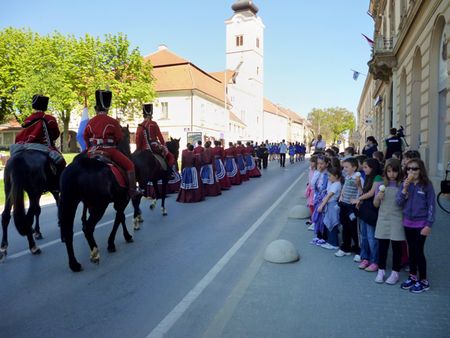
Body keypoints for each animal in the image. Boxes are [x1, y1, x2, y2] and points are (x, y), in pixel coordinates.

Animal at [57, 127, 134, 272]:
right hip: (100, 207)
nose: (129, 153)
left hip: (70, 202)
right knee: (88, 228)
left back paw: (74, 263)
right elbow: (119, 218)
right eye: (127, 136)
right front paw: (115, 241)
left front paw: (124, 237)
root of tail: (78, 168)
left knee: (69, 232)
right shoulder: (122, 200)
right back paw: (95, 254)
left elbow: (120, 217)